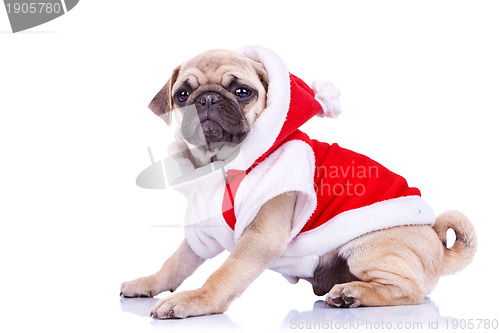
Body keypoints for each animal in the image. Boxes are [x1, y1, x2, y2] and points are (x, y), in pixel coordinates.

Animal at [120, 47, 476, 320]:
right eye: (182, 95)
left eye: (242, 92)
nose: (206, 100)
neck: (222, 163)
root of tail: (435, 240)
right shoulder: (203, 232)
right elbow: (175, 263)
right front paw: (149, 282)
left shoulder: (260, 238)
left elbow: (224, 274)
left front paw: (195, 300)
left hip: (368, 248)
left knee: (410, 292)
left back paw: (353, 294)